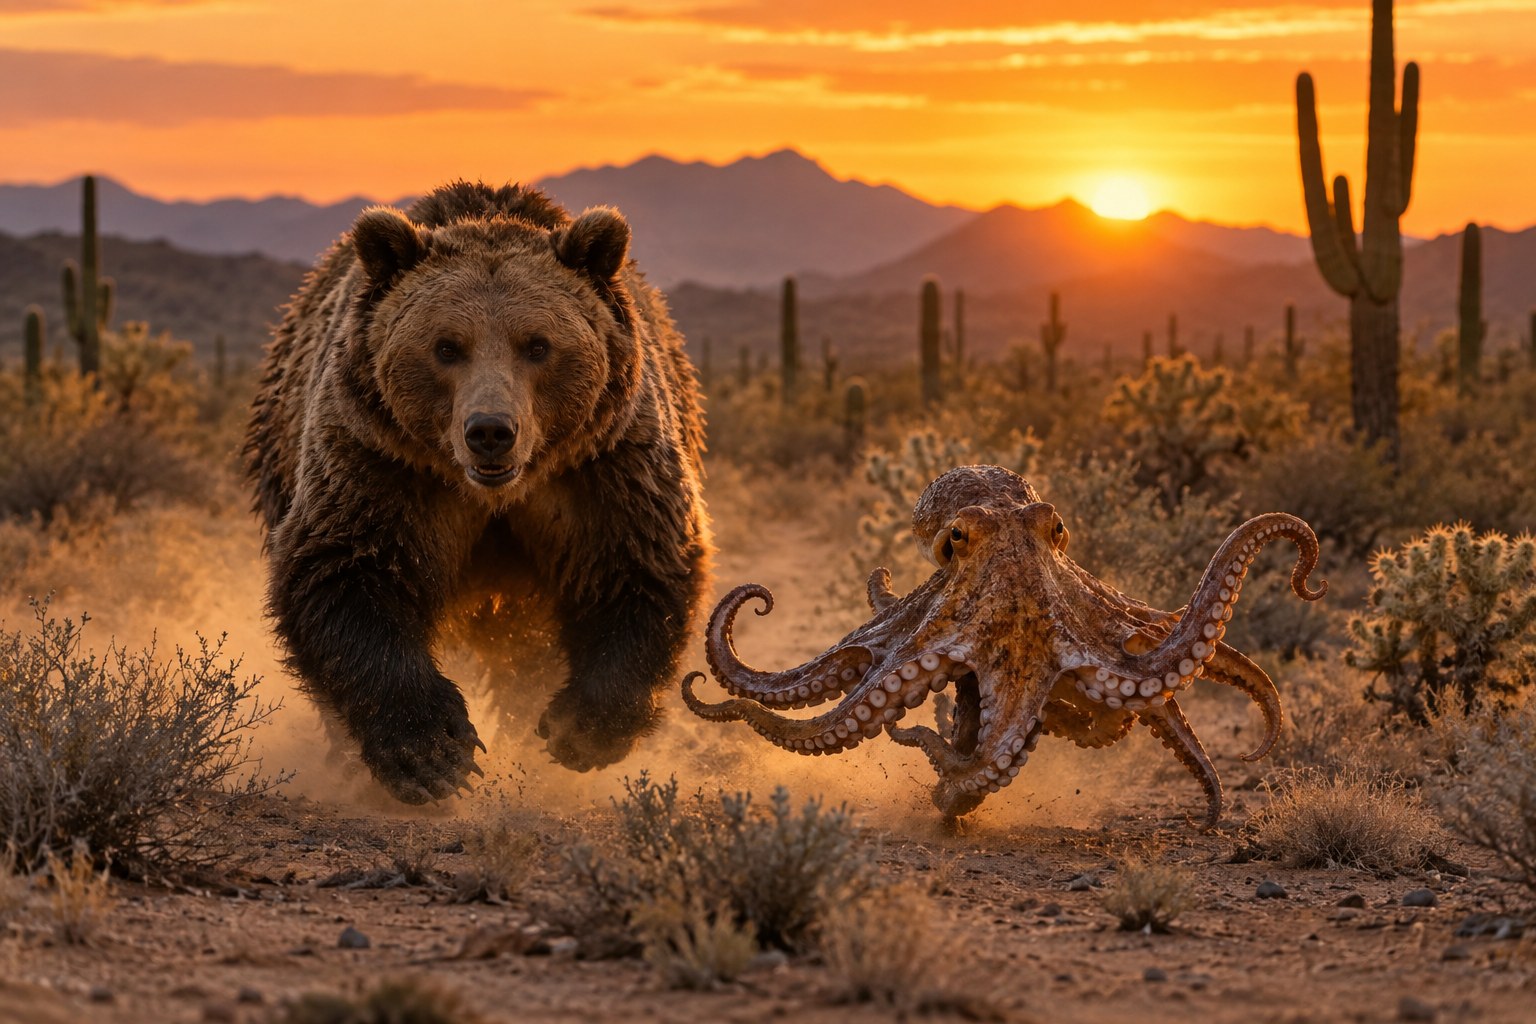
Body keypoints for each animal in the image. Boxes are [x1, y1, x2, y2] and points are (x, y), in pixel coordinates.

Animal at [243, 181, 710, 803]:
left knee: (523, 652)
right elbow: (345, 570)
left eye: (537, 345)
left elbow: (635, 565)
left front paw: (580, 728)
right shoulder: (381, 464)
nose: (490, 430)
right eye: (447, 346)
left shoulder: (603, 469)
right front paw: (431, 753)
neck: (497, 496)